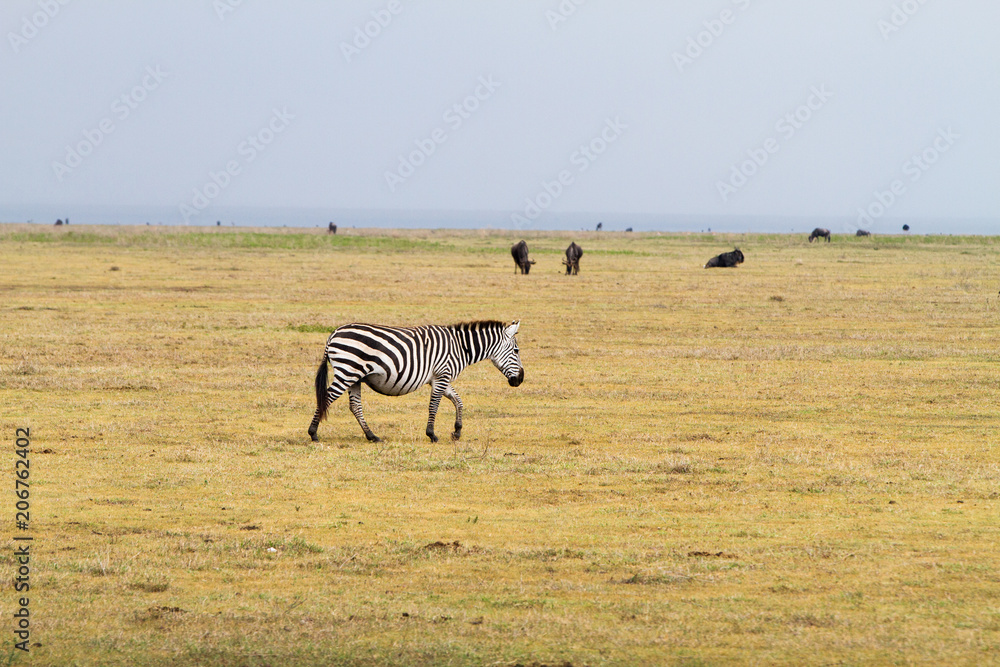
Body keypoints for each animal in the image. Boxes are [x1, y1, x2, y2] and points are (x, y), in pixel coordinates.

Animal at [307, 320, 524, 443]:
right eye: (516, 351)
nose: (520, 379)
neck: (460, 347)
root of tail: (333, 334)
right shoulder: (442, 375)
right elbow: (434, 405)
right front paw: (432, 434)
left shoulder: (440, 377)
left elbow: (458, 401)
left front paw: (457, 431)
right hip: (347, 371)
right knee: (327, 397)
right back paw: (313, 433)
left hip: (355, 377)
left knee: (355, 406)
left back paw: (372, 436)